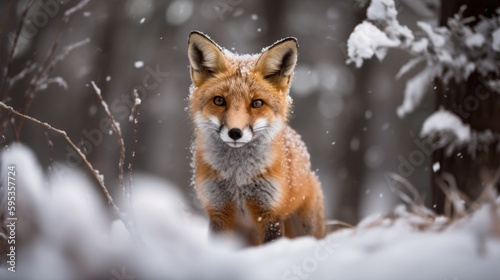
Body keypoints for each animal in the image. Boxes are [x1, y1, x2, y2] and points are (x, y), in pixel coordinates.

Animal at [187, 31, 324, 245]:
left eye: (257, 103)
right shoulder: (218, 209)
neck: (238, 177)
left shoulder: (270, 212)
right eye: (219, 100)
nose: (235, 133)